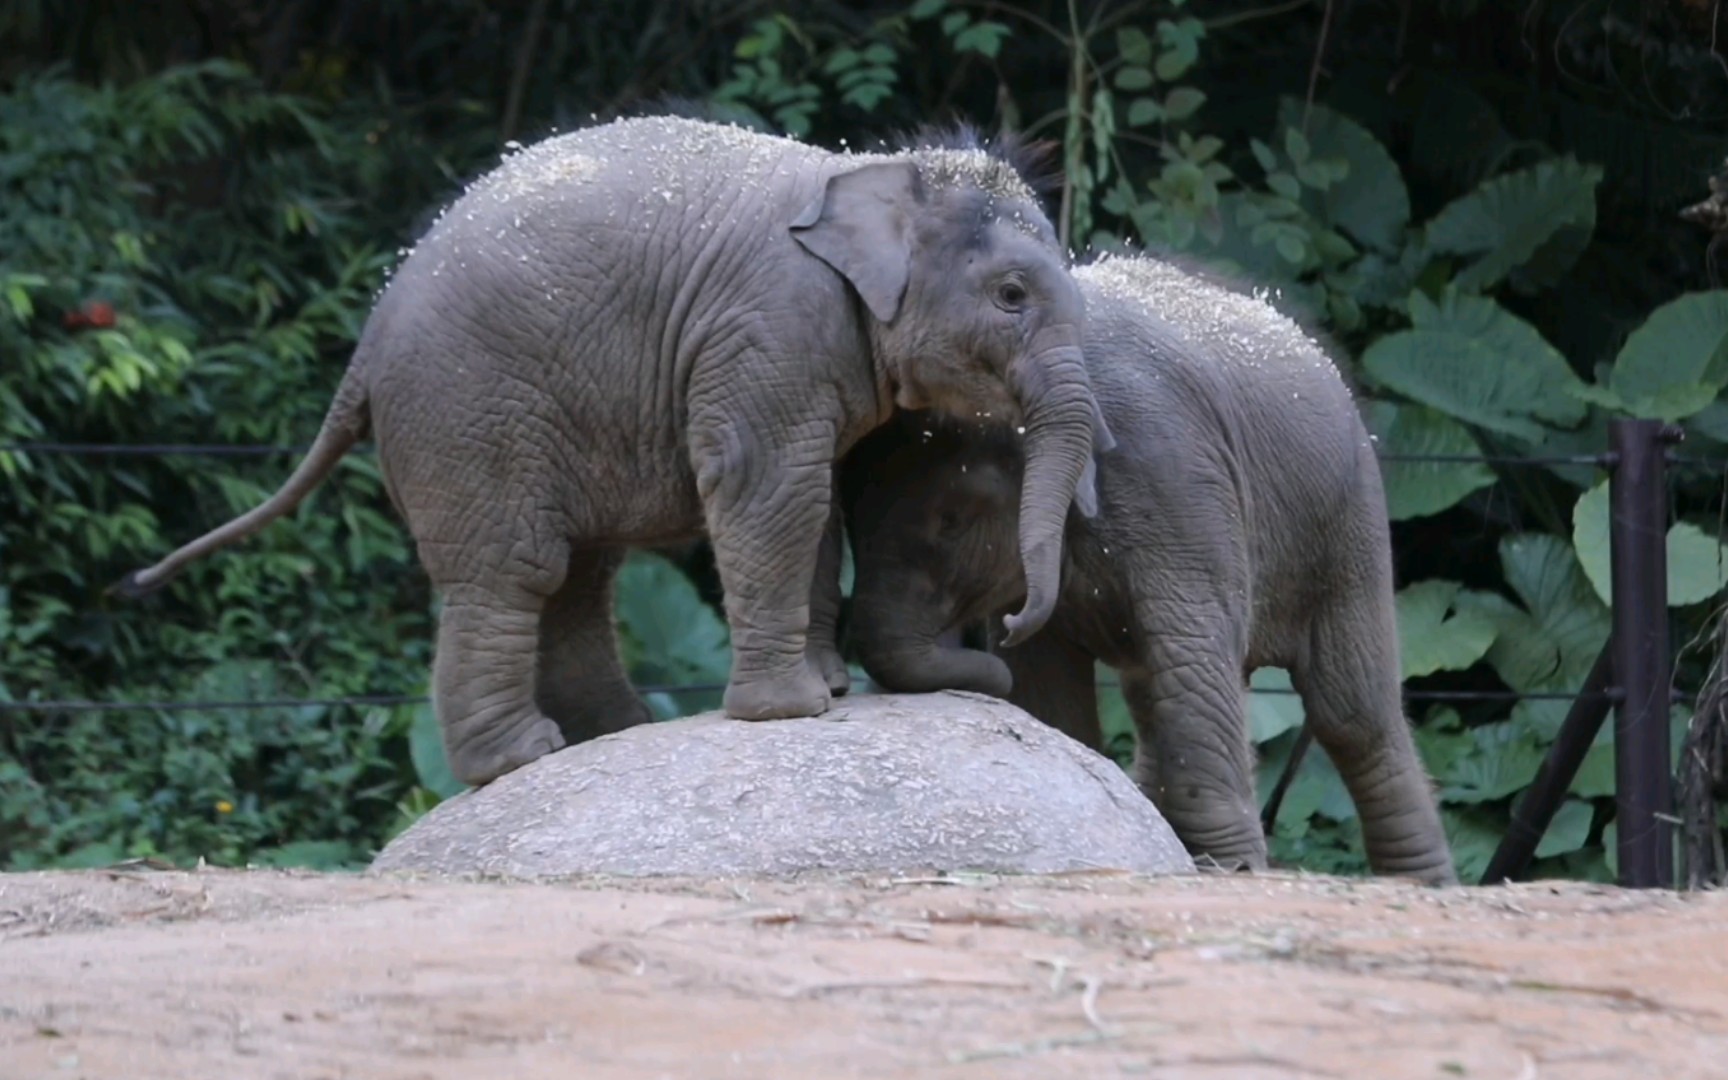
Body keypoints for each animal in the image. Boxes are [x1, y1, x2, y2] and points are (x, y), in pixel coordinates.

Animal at [118, 117, 1105, 784]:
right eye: (1012, 295)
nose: (1014, 629)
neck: (866, 172)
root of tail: (364, 343)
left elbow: (813, 494)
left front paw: (826, 691)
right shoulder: (768, 328)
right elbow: (768, 484)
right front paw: (791, 713)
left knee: (577, 576)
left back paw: (613, 735)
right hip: (468, 416)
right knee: (516, 571)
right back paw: (518, 760)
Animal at [836, 252, 1458, 884]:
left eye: (952, 521)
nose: (1001, 633)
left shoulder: (1173, 475)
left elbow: (1191, 651)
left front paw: (1231, 868)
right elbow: (1048, 679)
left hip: (1350, 523)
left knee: (1350, 712)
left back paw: (1423, 881)